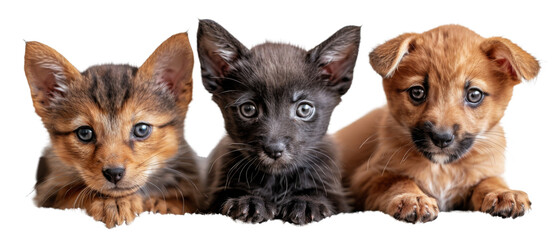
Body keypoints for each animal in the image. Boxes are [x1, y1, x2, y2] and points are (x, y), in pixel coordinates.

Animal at [25, 32, 203, 228]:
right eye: (84, 133)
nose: (114, 173)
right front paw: (110, 202)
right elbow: (75, 193)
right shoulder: (49, 192)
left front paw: (164, 204)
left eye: (141, 129)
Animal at [199, 19, 360, 225]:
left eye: (304, 109)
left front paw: (306, 203)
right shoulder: (213, 195)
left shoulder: (339, 197)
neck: (277, 179)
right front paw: (250, 201)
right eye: (248, 109)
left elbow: (321, 195)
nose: (274, 150)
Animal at [334, 24, 540, 223]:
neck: (443, 169)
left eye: (474, 95)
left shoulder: (485, 170)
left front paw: (503, 194)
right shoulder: (365, 177)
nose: (441, 138)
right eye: (417, 92)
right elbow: (397, 180)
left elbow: (489, 181)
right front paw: (412, 198)